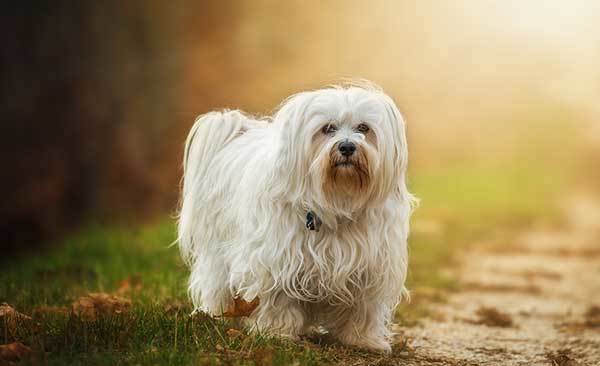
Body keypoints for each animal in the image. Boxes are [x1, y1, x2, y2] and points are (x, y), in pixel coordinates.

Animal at [176, 82, 414, 352]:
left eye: (364, 128)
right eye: (327, 128)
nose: (347, 147)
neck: (338, 199)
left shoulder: (370, 267)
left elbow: (363, 308)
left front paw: (363, 339)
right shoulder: (277, 261)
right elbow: (279, 300)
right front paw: (277, 333)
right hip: (218, 252)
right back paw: (219, 315)